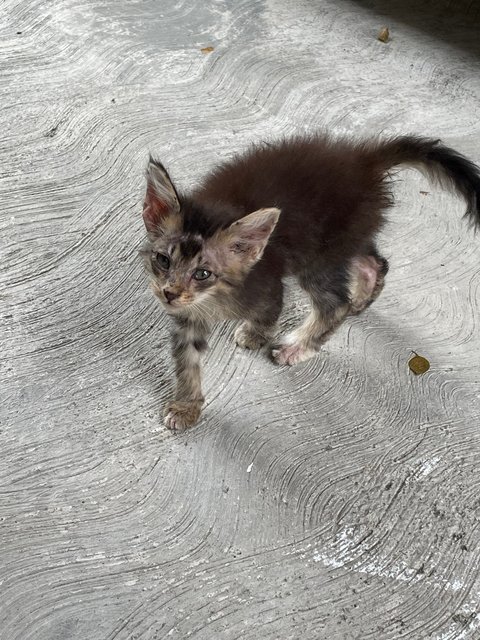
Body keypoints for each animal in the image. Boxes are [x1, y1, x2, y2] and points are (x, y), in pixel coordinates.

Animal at [141, 136, 480, 432]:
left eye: (202, 274)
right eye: (163, 260)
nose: (168, 293)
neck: (214, 297)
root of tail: (363, 160)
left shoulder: (268, 285)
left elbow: (268, 314)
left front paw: (254, 335)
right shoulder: (188, 316)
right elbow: (187, 361)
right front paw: (186, 407)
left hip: (319, 257)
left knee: (336, 303)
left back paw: (297, 346)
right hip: (344, 242)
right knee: (376, 262)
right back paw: (362, 297)